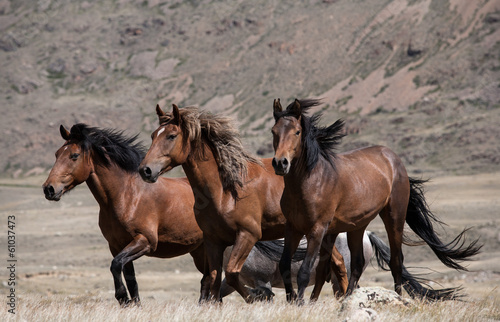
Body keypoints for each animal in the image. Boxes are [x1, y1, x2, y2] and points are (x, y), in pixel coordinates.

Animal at [42, 124, 206, 306]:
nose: (49, 189)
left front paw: (122, 297)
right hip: (199, 250)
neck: (127, 195)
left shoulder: (145, 241)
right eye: (57, 154)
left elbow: (115, 265)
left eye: (74, 155)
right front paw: (133, 304)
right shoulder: (117, 245)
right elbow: (130, 278)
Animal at [139, 105, 352, 302]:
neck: (225, 190)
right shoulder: (213, 240)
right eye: (153, 135)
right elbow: (214, 280)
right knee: (336, 262)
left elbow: (232, 274)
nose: (145, 170)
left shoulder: (248, 234)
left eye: (171, 136)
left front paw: (257, 296)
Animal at [272, 98, 482, 304]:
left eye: (297, 132)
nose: (280, 163)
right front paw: (293, 300)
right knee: (355, 264)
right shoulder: (293, 228)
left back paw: (397, 297)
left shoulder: (316, 230)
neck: (312, 180)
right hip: (355, 227)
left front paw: (300, 304)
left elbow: (304, 271)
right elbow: (285, 265)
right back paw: (347, 299)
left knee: (396, 261)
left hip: (394, 218)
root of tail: (394, 159)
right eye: (274, 131)